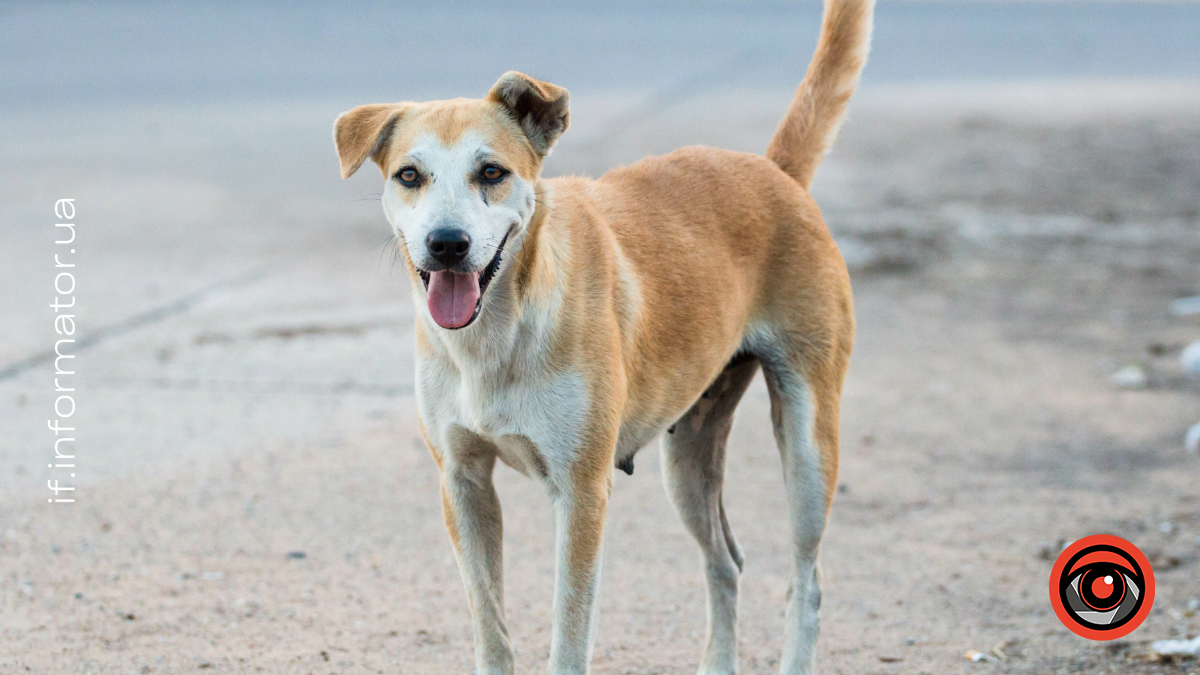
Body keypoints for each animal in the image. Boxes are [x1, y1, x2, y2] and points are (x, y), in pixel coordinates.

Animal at [338, 2, 873, 667]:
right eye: (410, 175)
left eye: (491, 172)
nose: (447, 243)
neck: (499, 333)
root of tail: (776, 173)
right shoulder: (462, 484)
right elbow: (490, 627)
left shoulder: (581, 492)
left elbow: (569, 635)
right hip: (688, 456)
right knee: (725, 562)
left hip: (806, 444)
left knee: (807, 580)